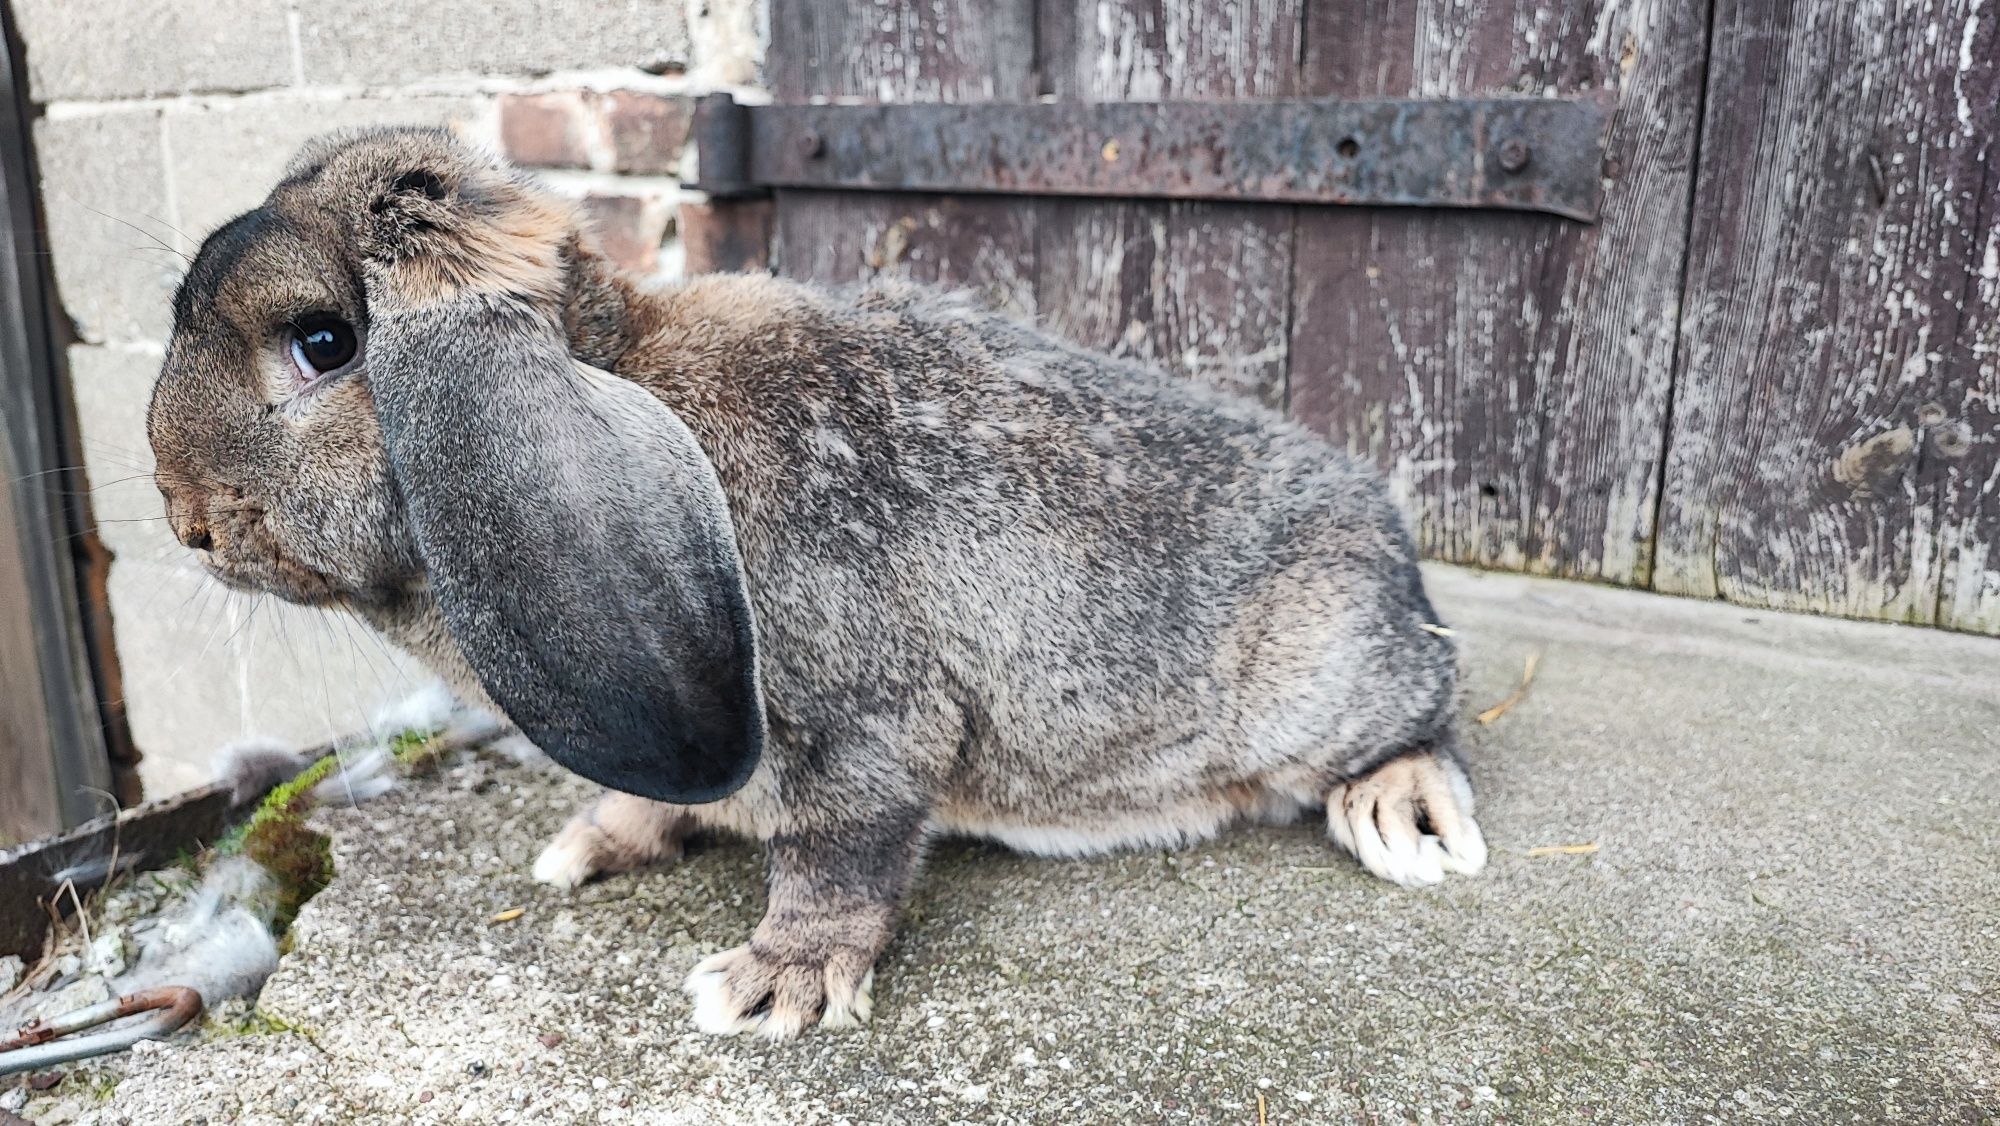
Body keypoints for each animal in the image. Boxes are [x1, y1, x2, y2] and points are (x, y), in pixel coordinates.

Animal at [148, 130, 1480, 1040]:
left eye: (324, 343)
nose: (181, 513)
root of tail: (1391, 545)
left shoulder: (863, 727)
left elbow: (841, 854)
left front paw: (768, 988)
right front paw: (587, 846)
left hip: (1328, 679)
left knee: (1424, 716)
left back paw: (1399, 809)